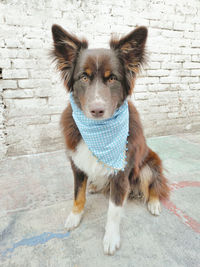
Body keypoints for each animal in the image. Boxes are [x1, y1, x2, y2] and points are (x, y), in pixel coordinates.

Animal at [50, 24, 170, 255]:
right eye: (83, 77)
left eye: (113, 78)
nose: (97, 110)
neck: (99, 133)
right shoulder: (77, 165)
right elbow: (78, 195)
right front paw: (74, 217)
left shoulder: (121, 173)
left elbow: (114, 211)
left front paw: (111, 238)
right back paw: (95, 186)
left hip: (149, 166)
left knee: (155, 185)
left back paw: (154, 203)